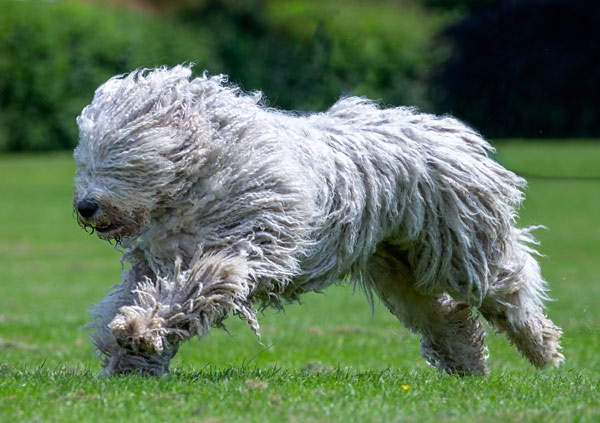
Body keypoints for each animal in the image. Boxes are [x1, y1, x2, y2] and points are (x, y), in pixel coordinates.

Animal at [74, 64, 564, 376]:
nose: (85, 207)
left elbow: (195, 286)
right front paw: (129, 355)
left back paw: (541, 347)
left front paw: (140, 329)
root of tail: (454, 135)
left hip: (461, 249)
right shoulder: (158, 258)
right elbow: (136, 294)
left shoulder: (246, 244)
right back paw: (468, 363)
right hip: (396, 263)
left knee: (509, 288)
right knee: (445, 315)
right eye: (85, 159)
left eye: (122, 159)